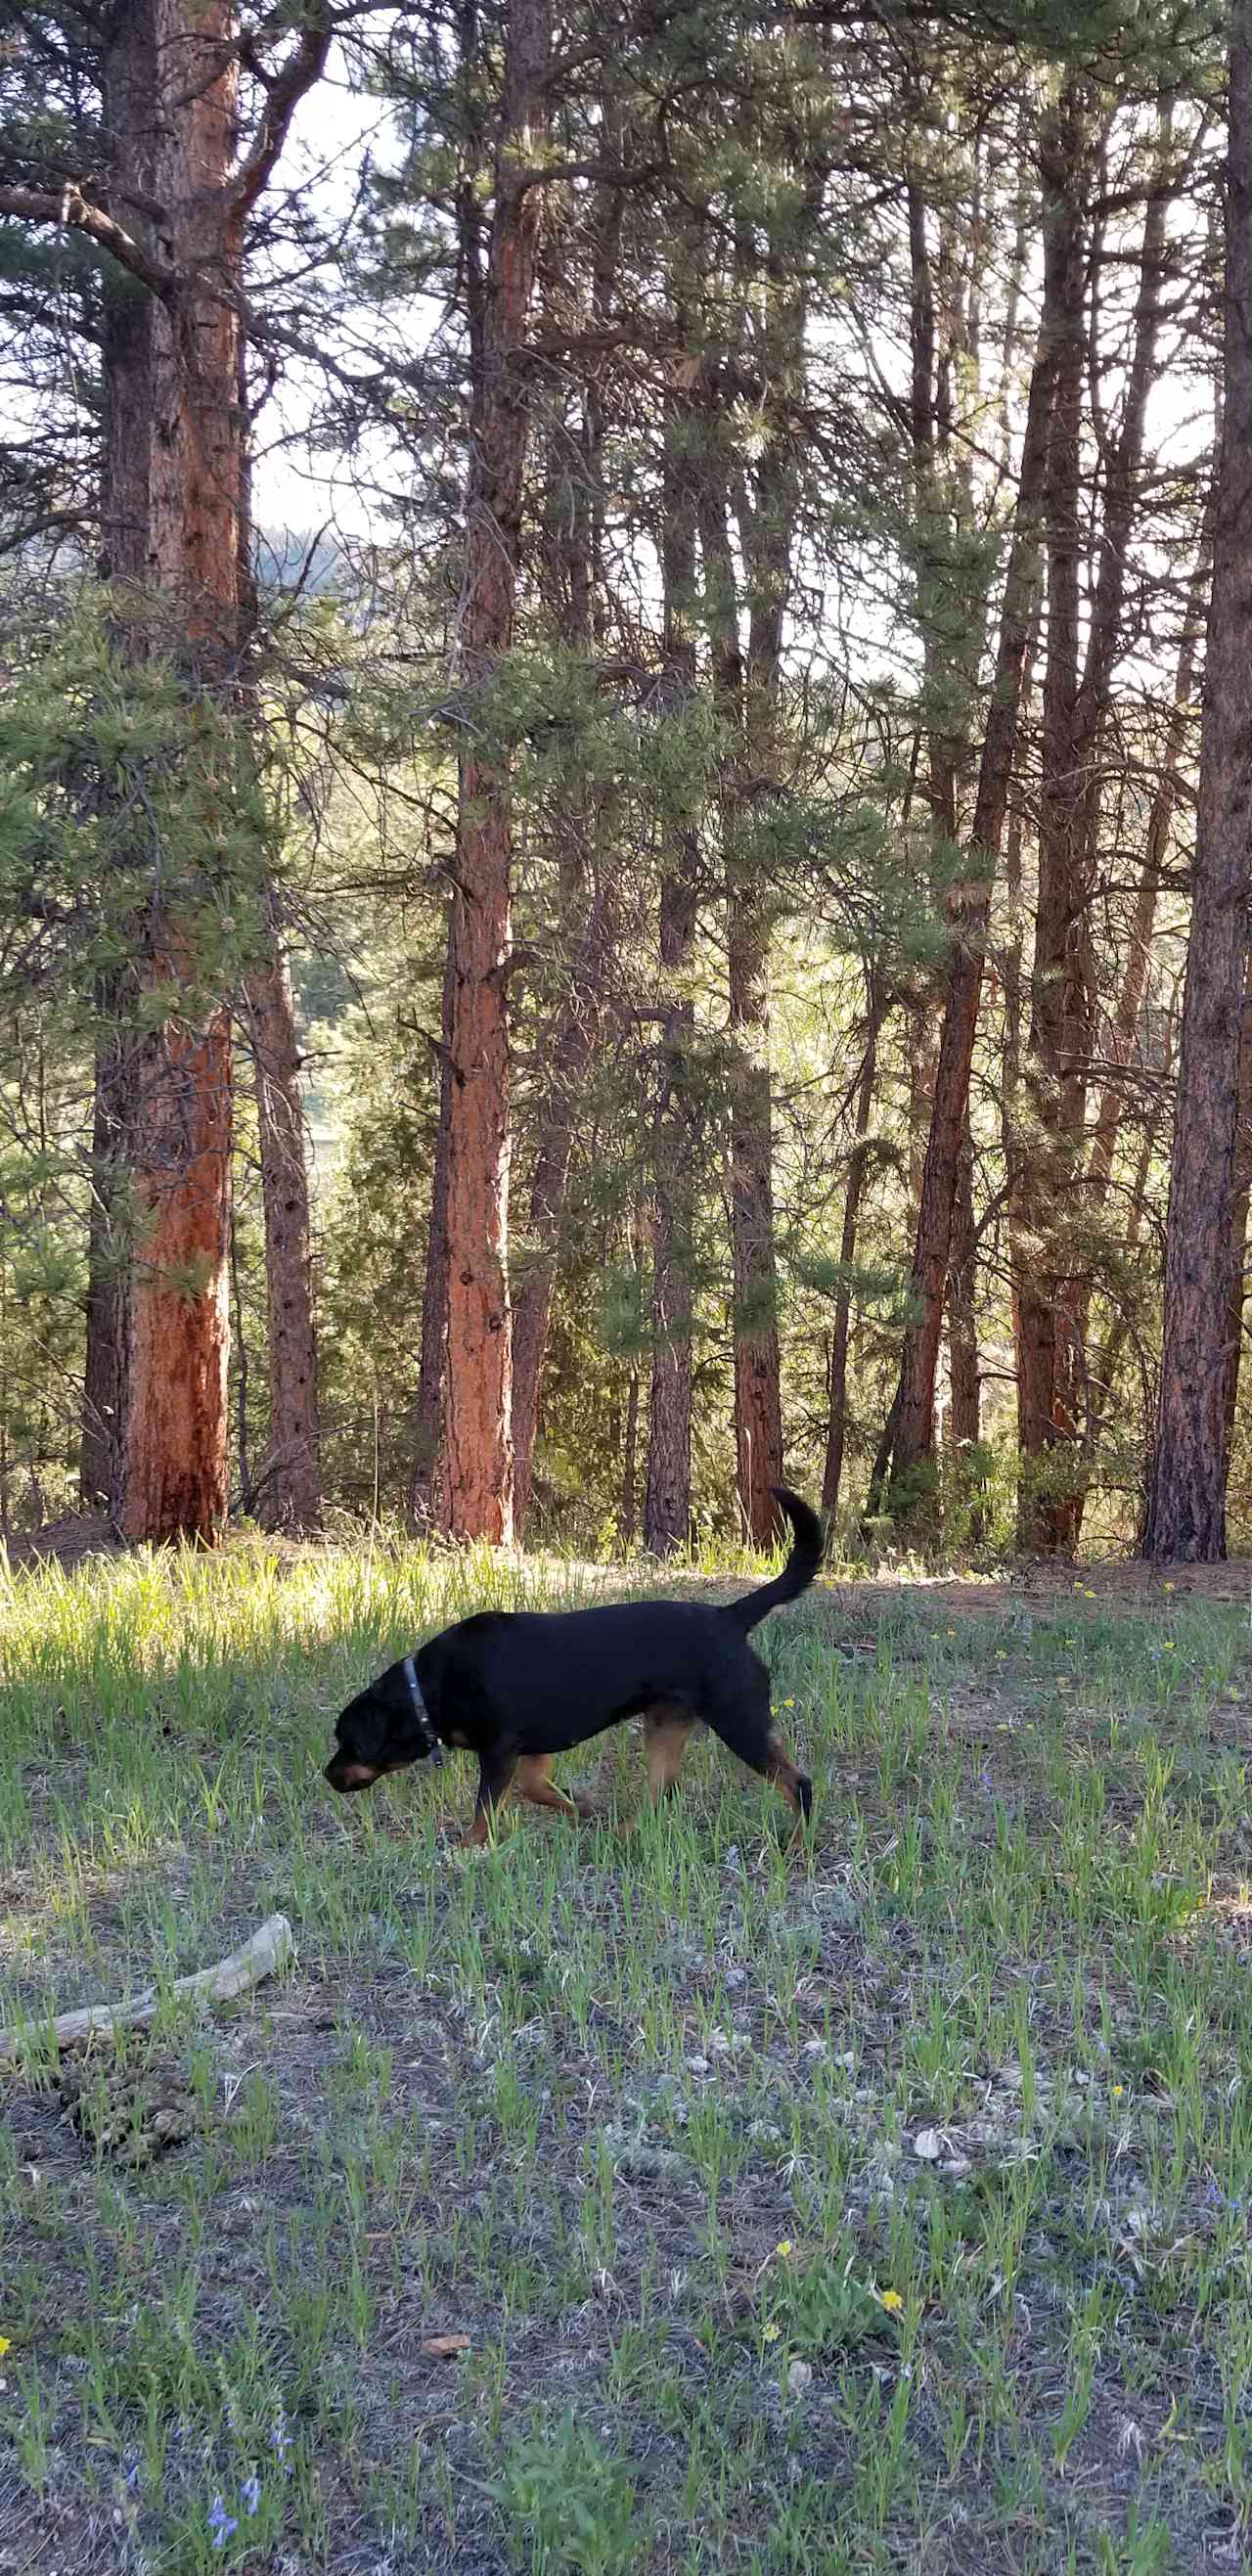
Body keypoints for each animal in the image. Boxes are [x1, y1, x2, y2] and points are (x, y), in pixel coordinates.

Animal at [327, 1494, 824, 1854]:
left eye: (349, 1741)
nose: (328, 1776)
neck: (428, 1689)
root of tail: (730, 1616)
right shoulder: (531, 1751)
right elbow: (538, 1791)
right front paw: (582, 1807)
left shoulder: (501, 1749)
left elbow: (484, 1810)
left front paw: (466, 1850)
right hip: (665, 1724)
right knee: (661, 1791)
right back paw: (624, 1834)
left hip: (740, 1721)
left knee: (797, 1784)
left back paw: (798, 1846)